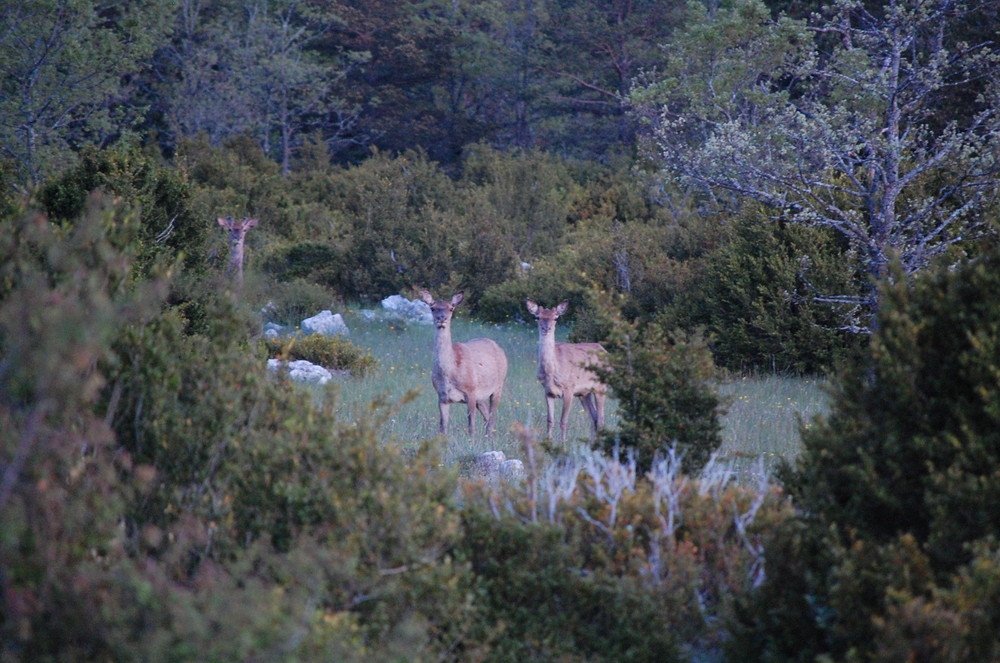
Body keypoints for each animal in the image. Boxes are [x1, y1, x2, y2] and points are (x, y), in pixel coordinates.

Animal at [418, 292, 508, 438]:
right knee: (486, 414)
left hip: (498, 385)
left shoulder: (470, 391)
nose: (441, 319)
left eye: (451, 308)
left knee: (492, 416)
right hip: (480, 396)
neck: (450, 372)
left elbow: (471, 426)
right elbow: (442, 428)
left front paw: (472, 441)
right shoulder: (442, 396)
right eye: (432, 308)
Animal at [524, 300, 608, 440]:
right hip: (584, 393)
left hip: (600, 387)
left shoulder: (569, 388)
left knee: (601, 420)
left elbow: (563, 421)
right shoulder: (548, 391)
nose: (546, 329)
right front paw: (548, 441)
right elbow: (550, 420)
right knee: (594, 419)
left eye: (556, 317)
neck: (552, 372)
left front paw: (563, 443)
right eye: (538, 317)